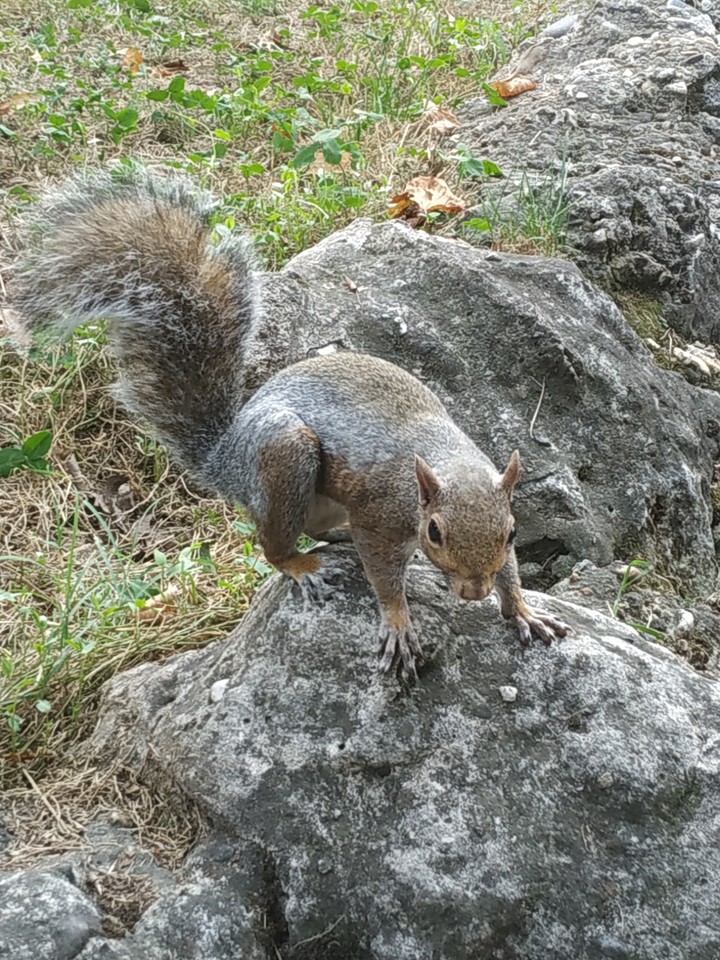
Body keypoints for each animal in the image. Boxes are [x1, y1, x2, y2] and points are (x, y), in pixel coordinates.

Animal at [11, 167, 568, 678]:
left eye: (512, 532)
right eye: (434, 532)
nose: (473, 592)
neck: (441, 462)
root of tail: (223, 460)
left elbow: (511, 576)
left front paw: (522, 609)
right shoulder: (380, 513)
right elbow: (383, 576)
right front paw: (398, 623)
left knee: (313, 527)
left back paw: (334, 538)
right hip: (285, 456)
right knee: (273, 544)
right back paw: (301, 564)